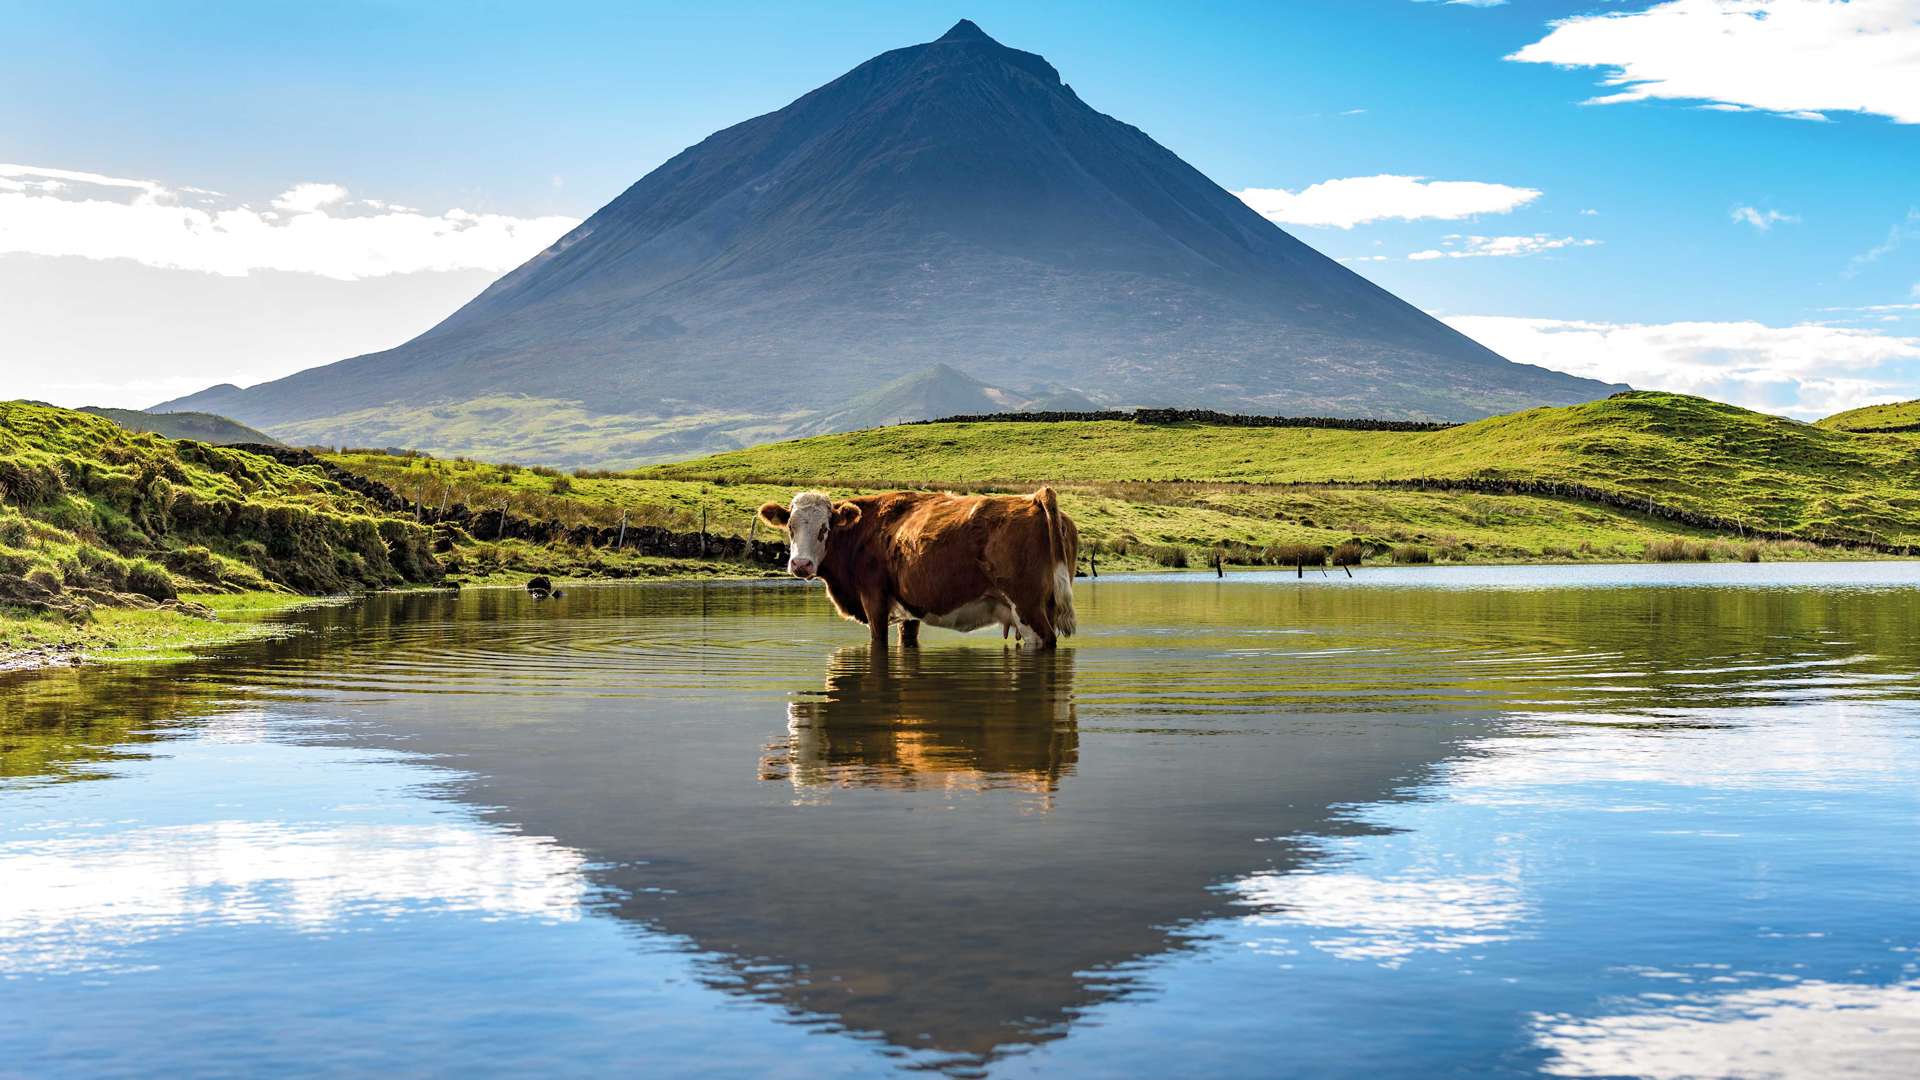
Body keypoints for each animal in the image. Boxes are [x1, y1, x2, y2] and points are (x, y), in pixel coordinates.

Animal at [752, 488, 1082, 645]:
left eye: (825, 529)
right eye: (790, 527)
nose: (801, 564)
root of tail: (1035, 498)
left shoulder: (874, 599)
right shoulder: (908, 610)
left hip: (1027, 608)